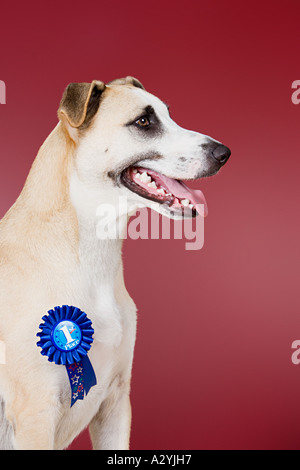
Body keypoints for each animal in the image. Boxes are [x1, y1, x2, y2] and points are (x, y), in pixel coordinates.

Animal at [0, 75, 231, 450]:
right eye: (144, 121)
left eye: (169, 115)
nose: (224, 153)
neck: (91, 254)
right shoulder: (36, 413)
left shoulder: (116, 402)